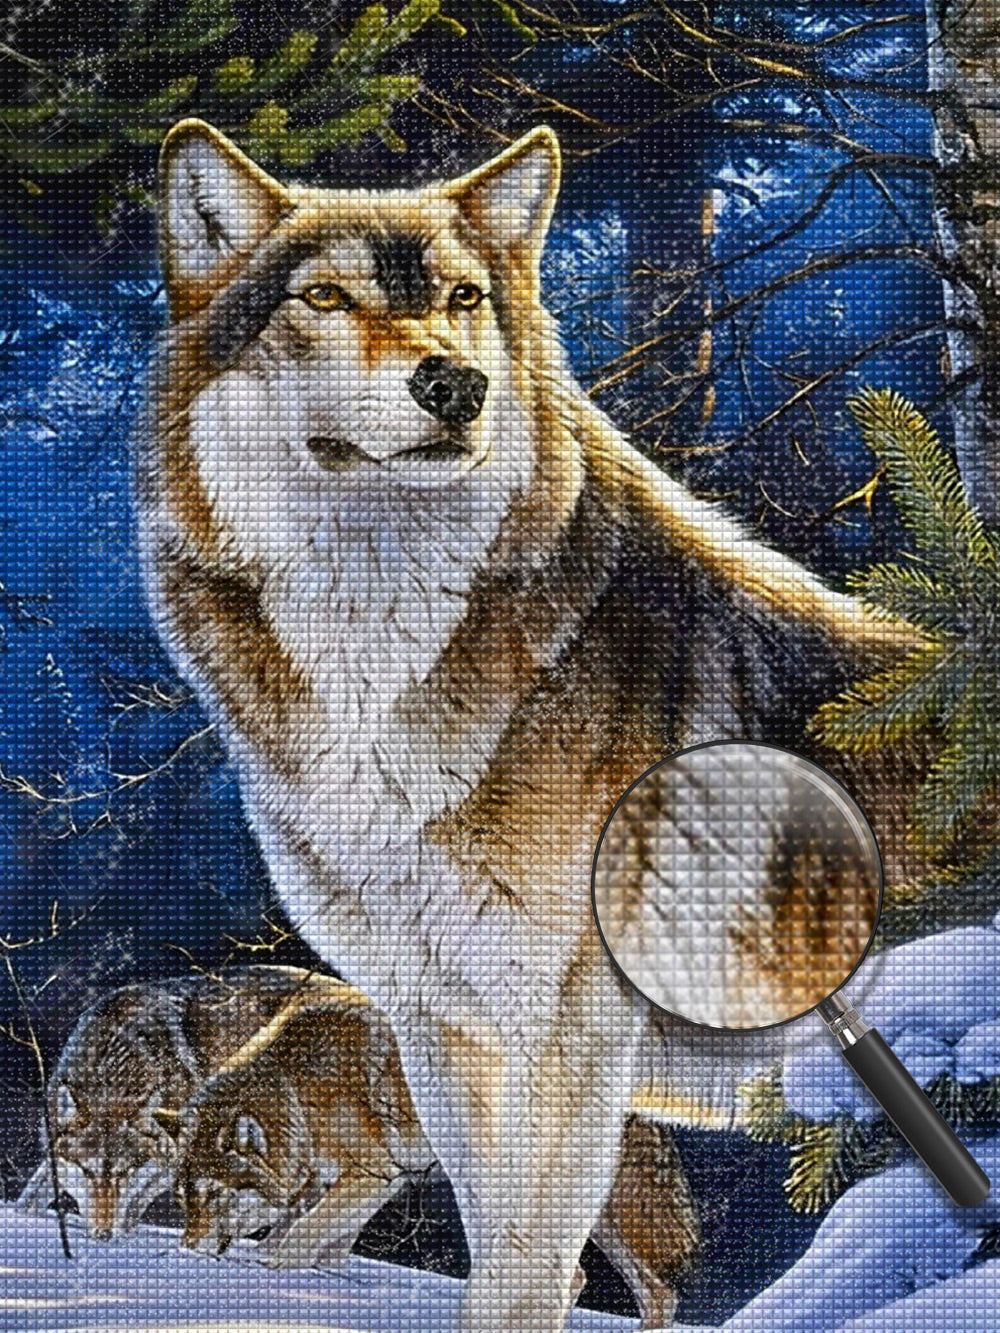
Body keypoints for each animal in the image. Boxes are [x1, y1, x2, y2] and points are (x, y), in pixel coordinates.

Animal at [18, 966, 339, 1240]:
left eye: (125, 1172)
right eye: (87, 1171)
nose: (103, 1235)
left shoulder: (173, 1161)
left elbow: (133, 1206)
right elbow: (31, 1195)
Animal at [169, 991, 699, 1326]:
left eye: (211, 1194)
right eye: (184, 1199)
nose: (185, 1250)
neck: (296, 1088)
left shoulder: (376, 1174)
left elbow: (298, 1236)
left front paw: (271, 1266)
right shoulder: (345, 1181)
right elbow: (317, 1235)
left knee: (636, 1289)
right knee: (610, 1284)